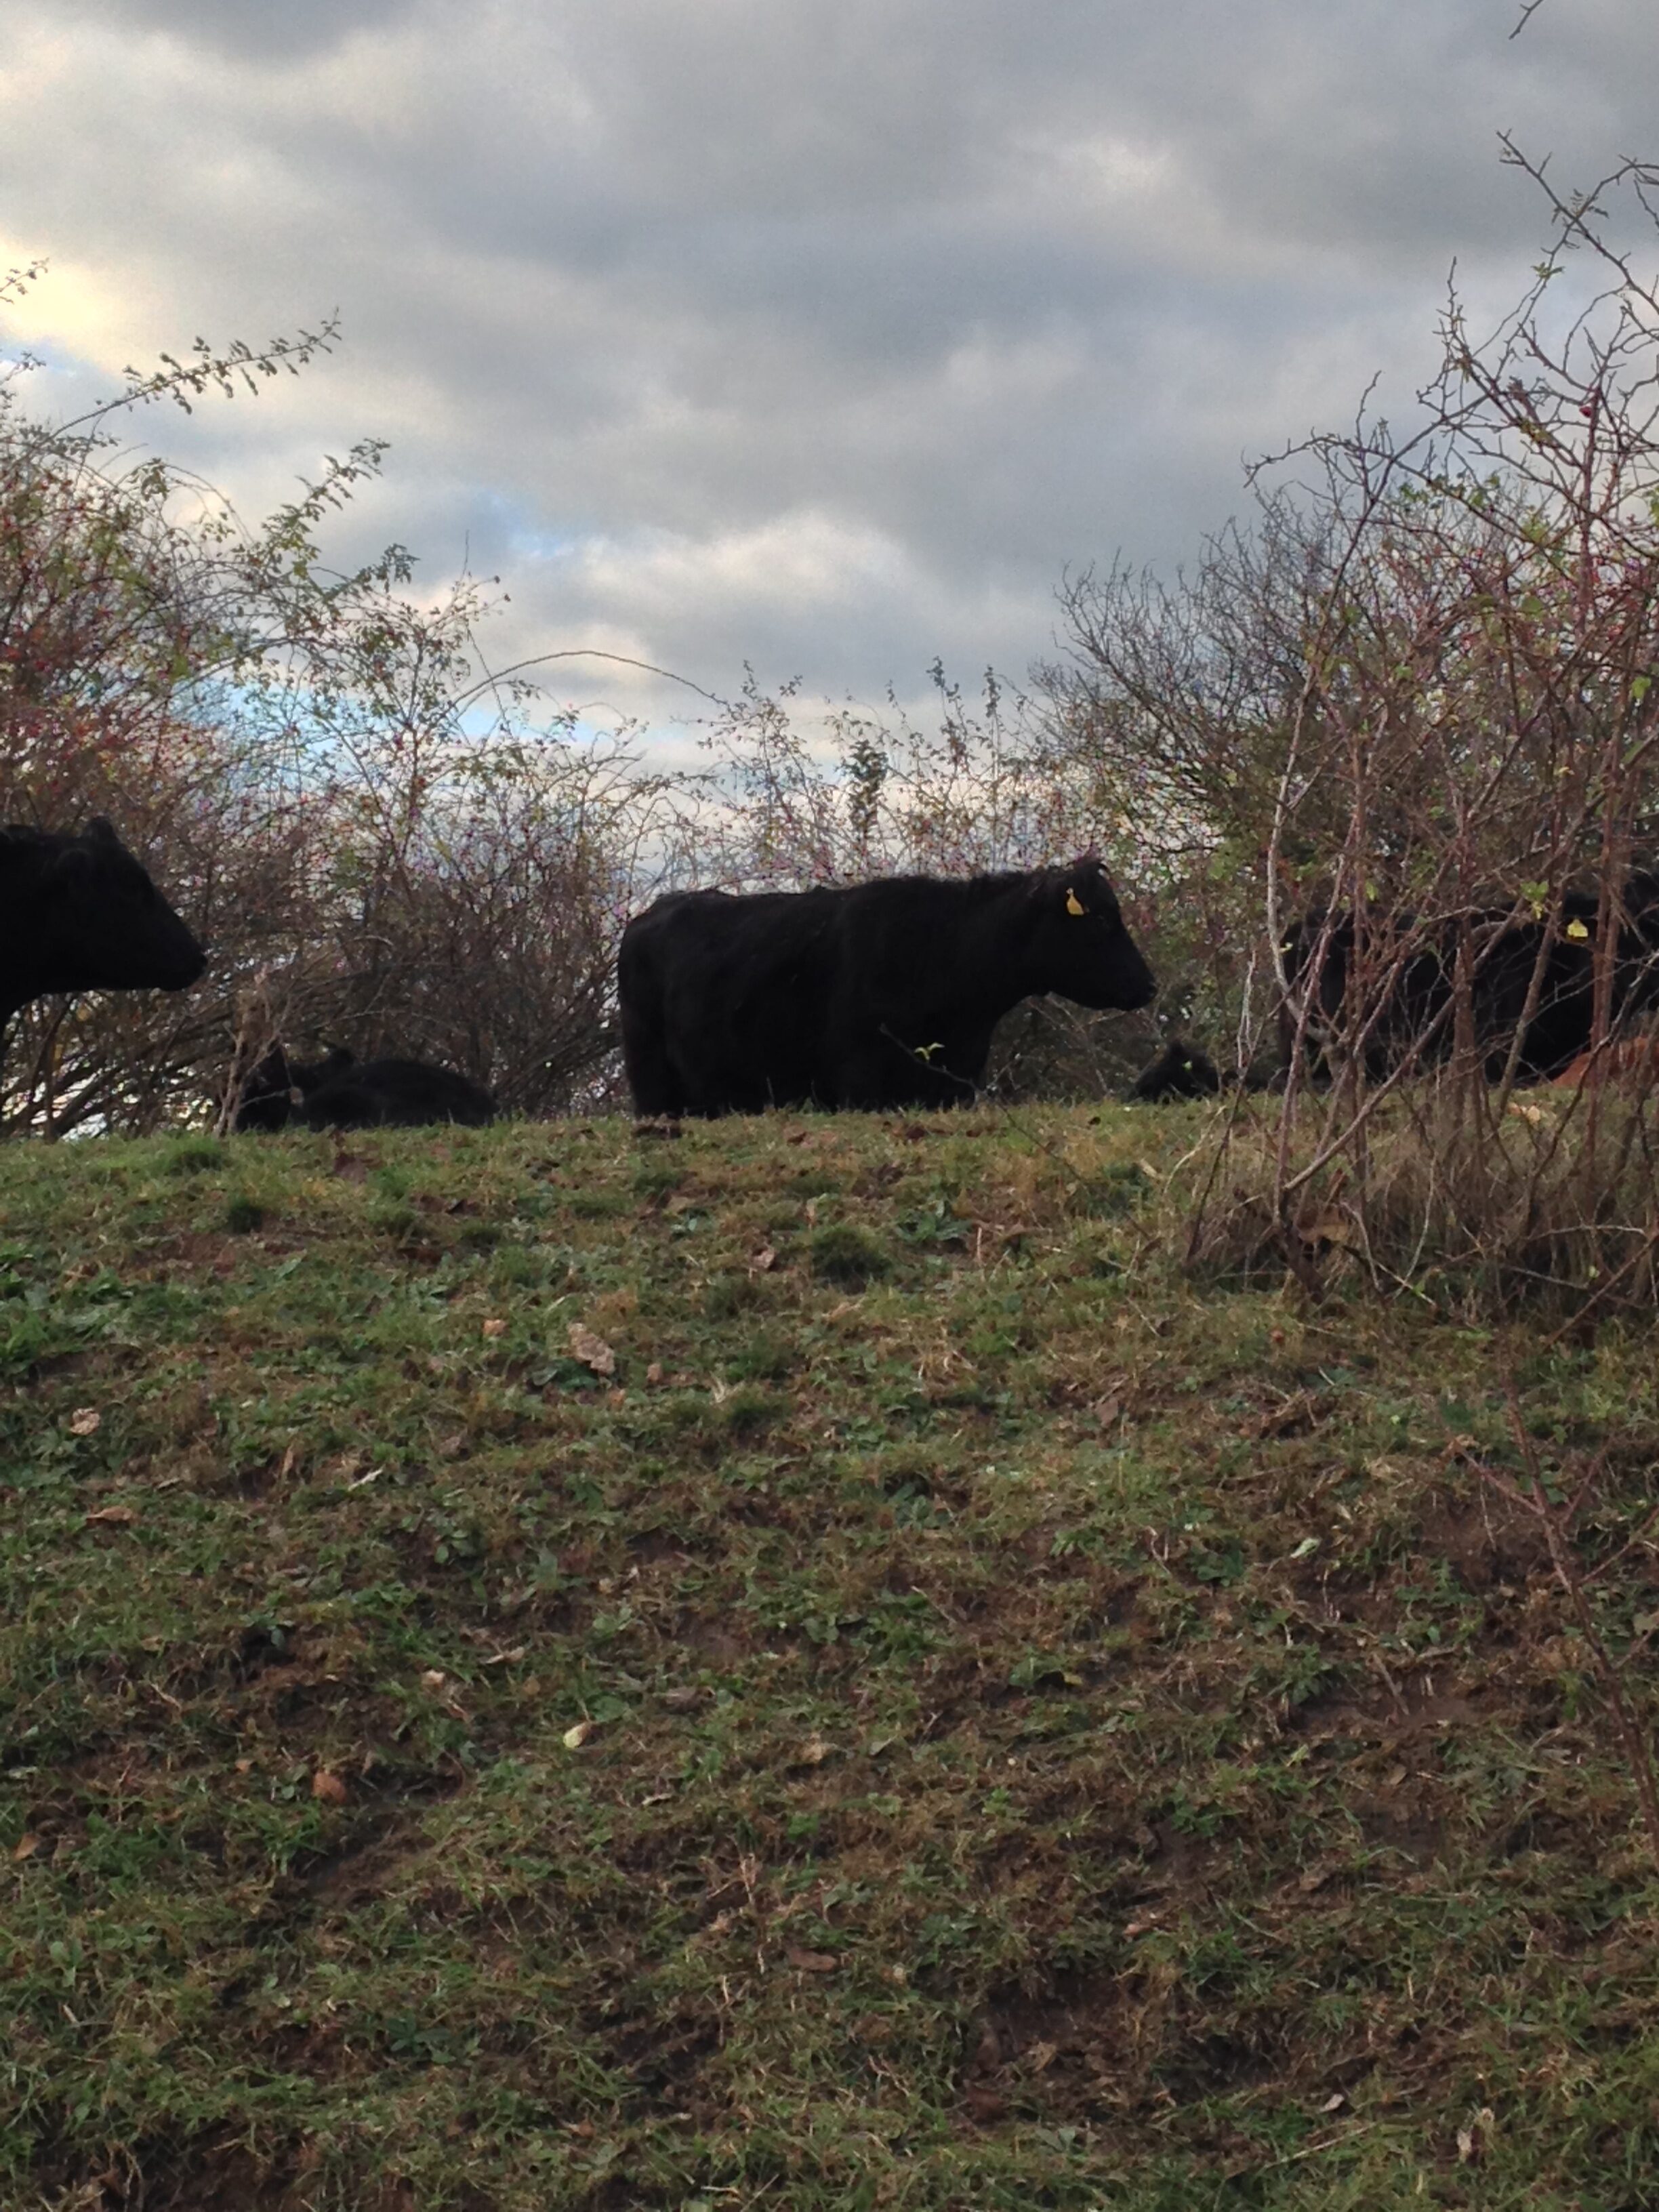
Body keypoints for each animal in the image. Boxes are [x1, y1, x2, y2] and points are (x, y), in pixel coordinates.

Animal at [617, 856, 1156, 1117]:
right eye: (1102, 920)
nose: (1148, 985)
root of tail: (652, 913)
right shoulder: (860, 1081)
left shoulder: (956, 1081)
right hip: (653, 1084)